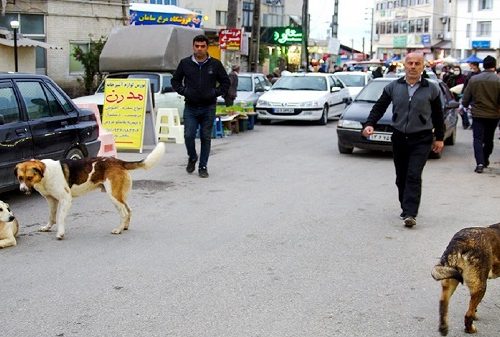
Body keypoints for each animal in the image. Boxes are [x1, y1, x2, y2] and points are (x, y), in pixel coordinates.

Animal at [13, 142, 165, 239]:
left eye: (29, 177)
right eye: (20, 178)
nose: (22, 190)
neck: (46, 174)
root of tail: (118, 161)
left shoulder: (65, 199)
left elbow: (59, 217)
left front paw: (60, 233)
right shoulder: (51, 200)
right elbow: (51, 216)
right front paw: (47, 227)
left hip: (113, 196)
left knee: (124, 212)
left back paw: (119, 229)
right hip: (120, 195)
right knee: (129, 210)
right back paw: (125, 227)